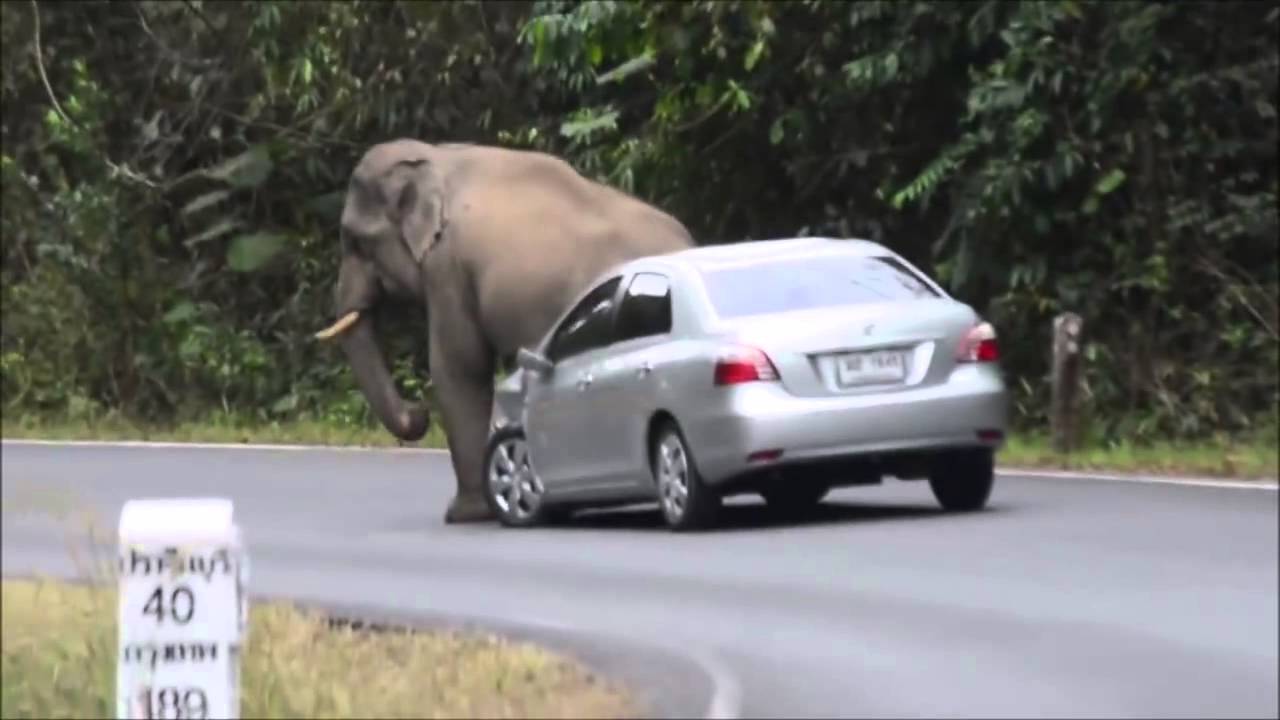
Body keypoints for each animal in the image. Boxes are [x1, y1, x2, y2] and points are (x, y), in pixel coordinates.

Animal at [314, 139, 696, 523]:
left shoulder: (448, 265)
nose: (418, 412)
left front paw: (463, 514)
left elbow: (458, 365)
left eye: (356, 241)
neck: (435, 156)